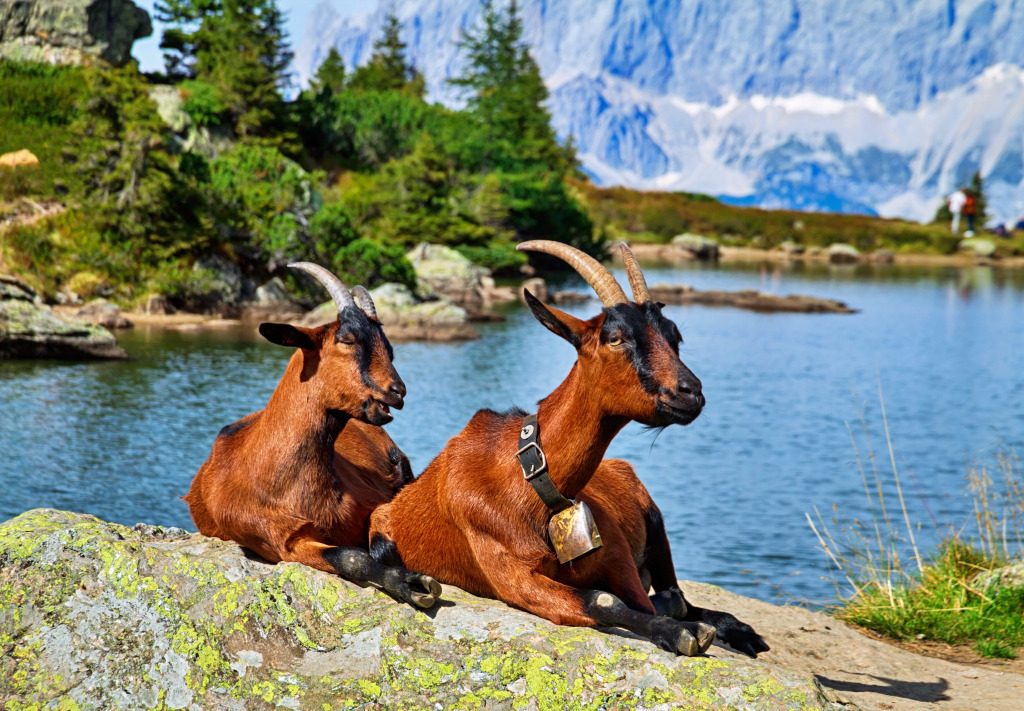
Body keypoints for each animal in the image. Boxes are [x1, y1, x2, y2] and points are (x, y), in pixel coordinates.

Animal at [185, 263, 441, 608]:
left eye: (388, 347)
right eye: (346, 339)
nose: (397, 392)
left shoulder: (375, 503)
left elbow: (379, 542)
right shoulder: (286, 543)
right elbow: (352, 558)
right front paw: (411, 585)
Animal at [369, 242, 768, 655]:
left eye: (675, 337)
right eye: (615, 338)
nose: (691, 392)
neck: (525, 483)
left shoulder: (617, 555)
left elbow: (642, 599)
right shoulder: (514, 579)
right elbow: (602, 601)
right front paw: (680, 633)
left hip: (654, 521)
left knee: (677, 592)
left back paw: (740, 629)